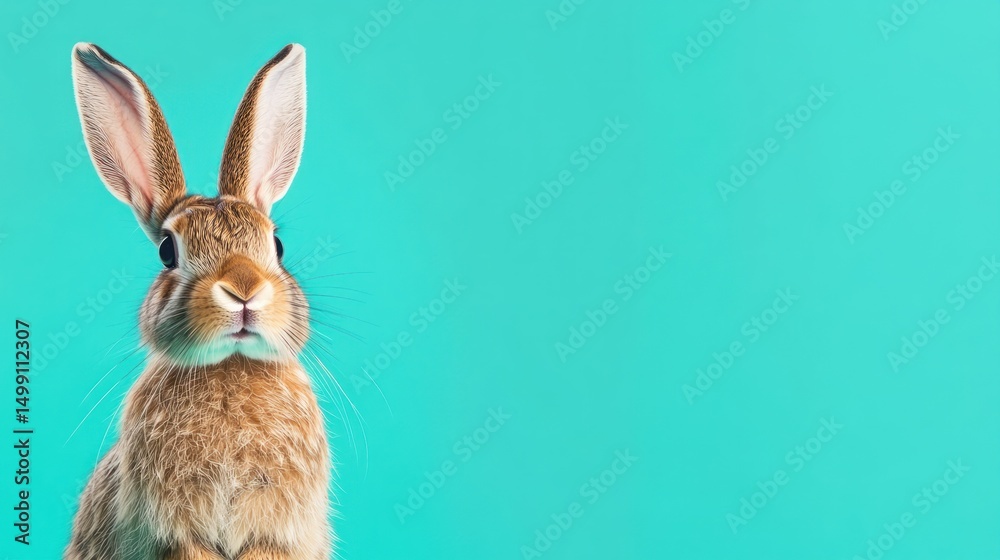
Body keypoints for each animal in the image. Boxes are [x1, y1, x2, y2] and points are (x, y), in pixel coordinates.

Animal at [64, 43, 332, 560]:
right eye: (168, 251)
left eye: (277, 245)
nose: (244, 289)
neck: (231, 364)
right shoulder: (177, 535)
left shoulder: (274, 533)